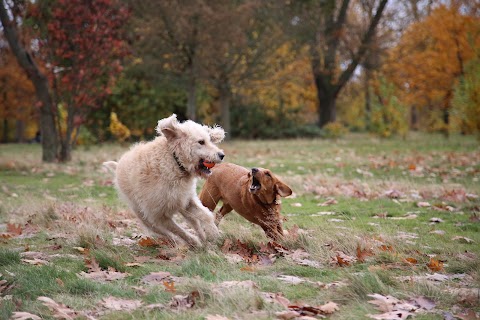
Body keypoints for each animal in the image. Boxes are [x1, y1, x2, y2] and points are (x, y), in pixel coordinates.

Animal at [103, 114, 225, 246]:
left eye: (209, 140)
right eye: (201, 142)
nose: (222, 155)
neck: (175, 162)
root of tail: (118, 165)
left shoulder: (187, 200)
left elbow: (206, 215)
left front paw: (214, 235)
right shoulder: (158, 215)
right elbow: (178, 230)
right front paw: (193, 241)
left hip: (181, 205)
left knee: (193, 222)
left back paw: (202, 238)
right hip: (144, 216)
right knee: (162, 232)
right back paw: (179, 242)